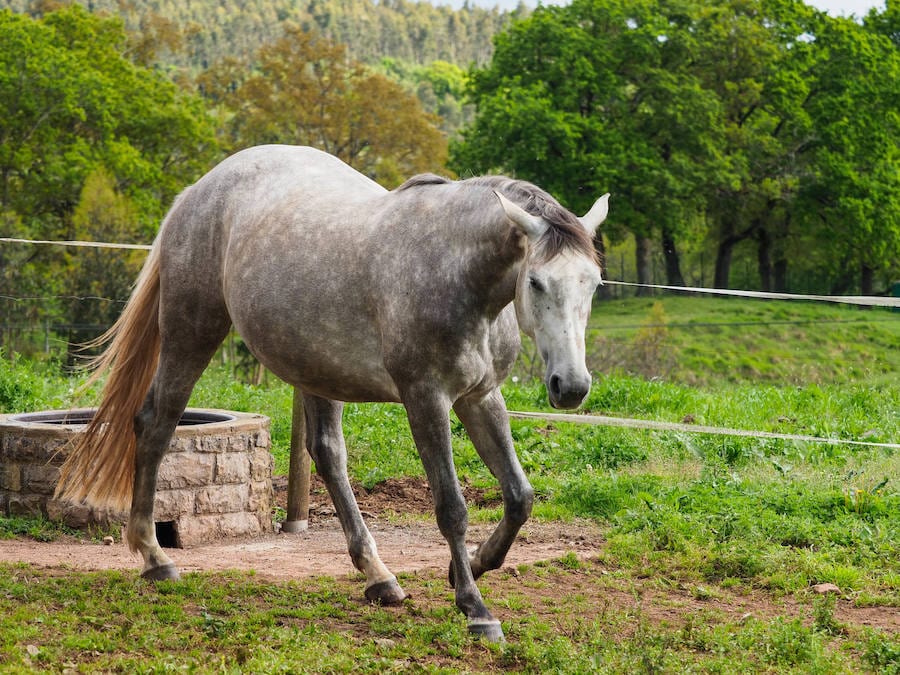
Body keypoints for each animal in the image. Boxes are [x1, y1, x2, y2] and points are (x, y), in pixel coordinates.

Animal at [54, 145, 604, 640]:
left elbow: (519, 497)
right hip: (192, 331)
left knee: (327, 455)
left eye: (594, 282)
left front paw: (470, 567)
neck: (455, 271)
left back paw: (379, 577)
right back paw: (154, 557)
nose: (571, 386)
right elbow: (452, 508)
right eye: (535, 282)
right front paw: (475, 608)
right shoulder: (425, 399)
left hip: (314, 369)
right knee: (157, 424)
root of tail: (197, 191)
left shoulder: (481, 397)